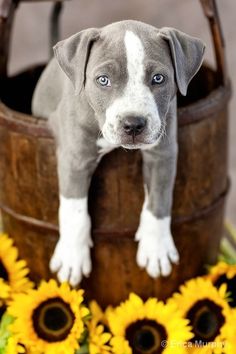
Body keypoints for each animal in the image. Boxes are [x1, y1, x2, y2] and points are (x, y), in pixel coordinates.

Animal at [32, 19, 206, 286]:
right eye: (103, 80)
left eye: (158, 78)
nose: (133, 124)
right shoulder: (75, 159)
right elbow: (74, 209)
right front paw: (72, 257)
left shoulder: (163, 152)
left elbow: (160, 198)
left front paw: (156, 249)